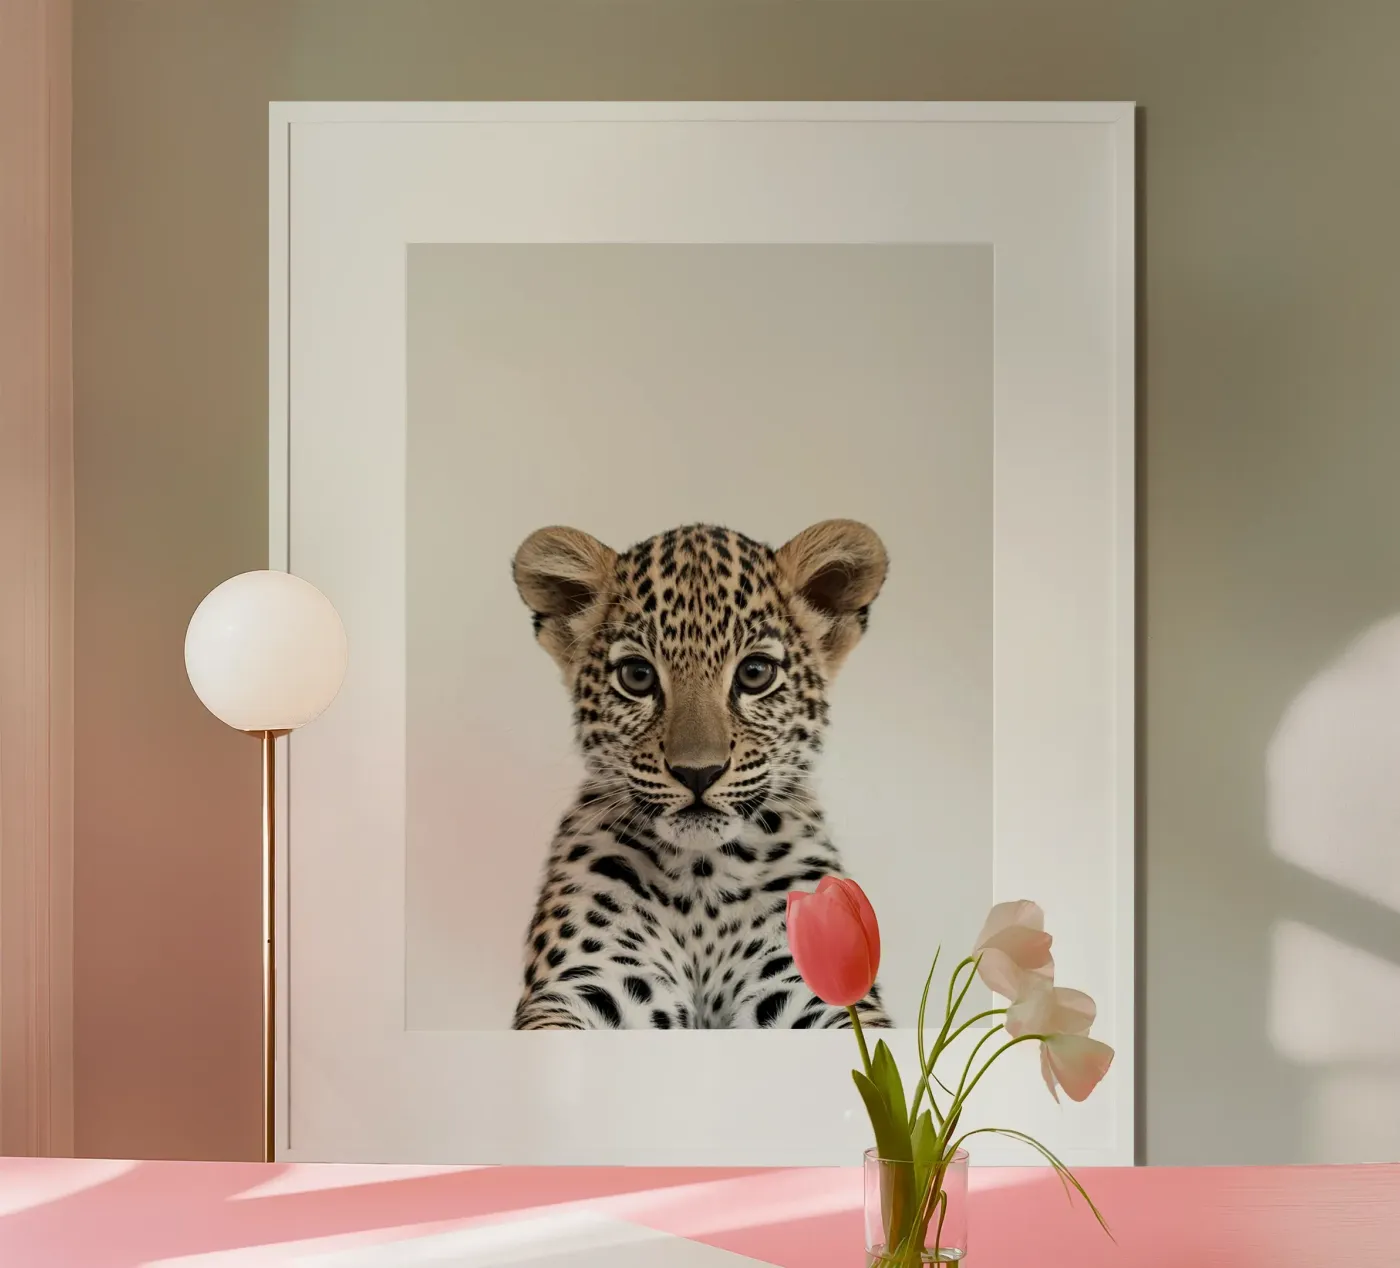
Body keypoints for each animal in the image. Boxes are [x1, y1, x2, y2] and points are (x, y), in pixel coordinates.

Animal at [509, 519, 893, 1031]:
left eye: (755, 672)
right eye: (636, 675)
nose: (698, 773)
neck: (702, 880)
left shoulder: (811, 984)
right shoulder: (588, 982)